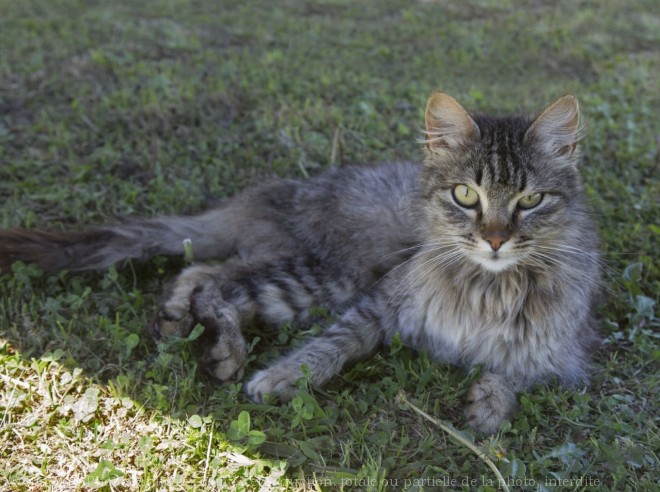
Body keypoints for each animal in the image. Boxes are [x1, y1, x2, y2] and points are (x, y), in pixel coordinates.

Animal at [0, 91, 604, 430]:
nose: (495, 239)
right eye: (465, 196)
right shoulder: (376, 303)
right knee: (213, 281)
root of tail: (274, 193)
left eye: (530, 200)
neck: (487, 285)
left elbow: (516, 373)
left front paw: (491, 405)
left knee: (200, 271)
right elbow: (329, 347)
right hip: (322, 278)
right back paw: (223, 349)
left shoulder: (559, 356)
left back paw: (179, 320)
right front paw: (282, 377)